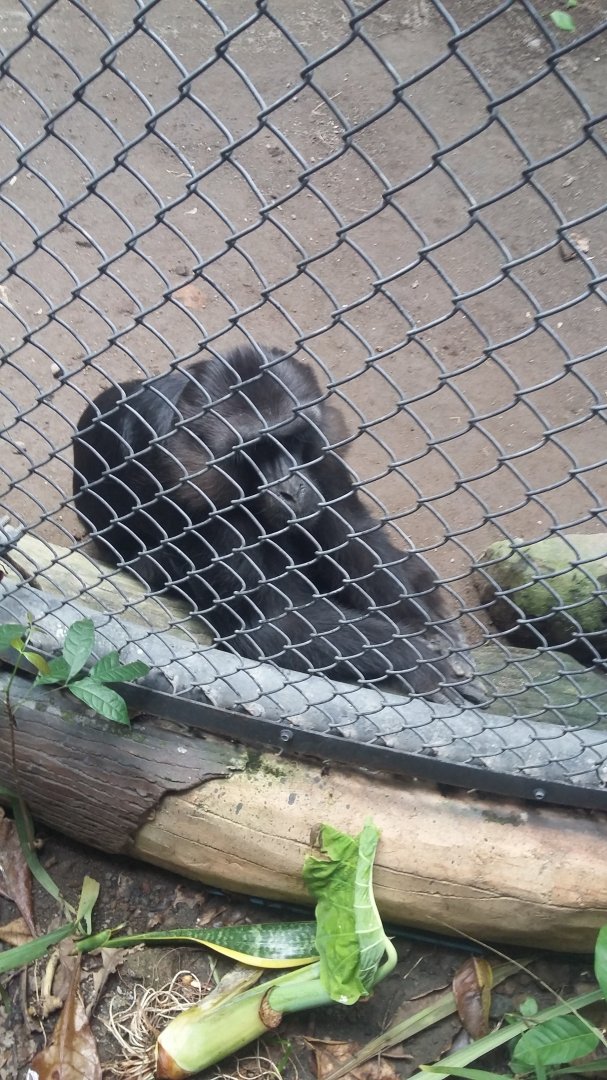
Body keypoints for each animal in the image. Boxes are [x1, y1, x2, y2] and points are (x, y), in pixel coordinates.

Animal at [72, 344, 479, 702]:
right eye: (255, 451)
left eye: (294, 438)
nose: (291, 488)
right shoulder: (190, 491)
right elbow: (270, 624)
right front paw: (413, 657)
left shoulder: (323, 453)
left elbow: (351, 528)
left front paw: (432, 626)